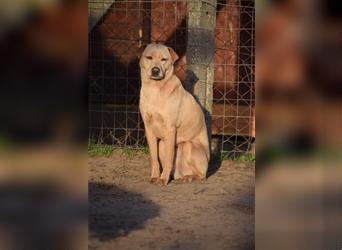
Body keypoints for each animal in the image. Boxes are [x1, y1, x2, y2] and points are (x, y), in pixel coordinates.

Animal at [138, 43, 208, 186]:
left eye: (164, 59)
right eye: (149, 57)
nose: (155, 70)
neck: (155, 89)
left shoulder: (170, 128)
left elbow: (168, 159)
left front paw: (163, 179)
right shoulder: (149, 128)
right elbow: (154, 157)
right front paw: (155, 177)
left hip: (188, 145)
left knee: (201, 175)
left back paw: (189, 177)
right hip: (162, 144)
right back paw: (181, 176)